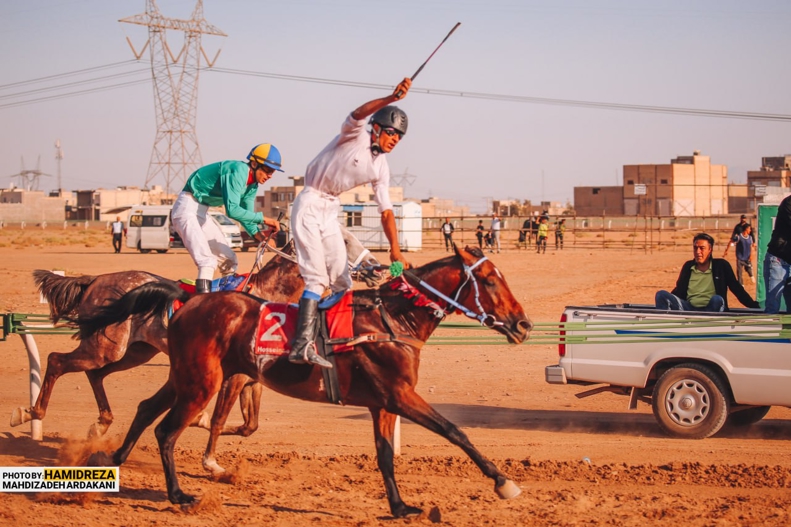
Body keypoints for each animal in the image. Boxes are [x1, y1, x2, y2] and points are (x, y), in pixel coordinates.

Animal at [85, 245, 532, 516]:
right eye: (490, 280)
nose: (523, 324)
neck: (392, 319)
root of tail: (188, 300)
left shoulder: (382, 403)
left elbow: (386, 455)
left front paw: (400, 506)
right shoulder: (401, 395)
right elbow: (455, 431)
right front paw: (503, 482)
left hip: (186, 377)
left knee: (146, 409)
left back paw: (113, 461)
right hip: (201, 383)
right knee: (166, 431)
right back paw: (178, 494)